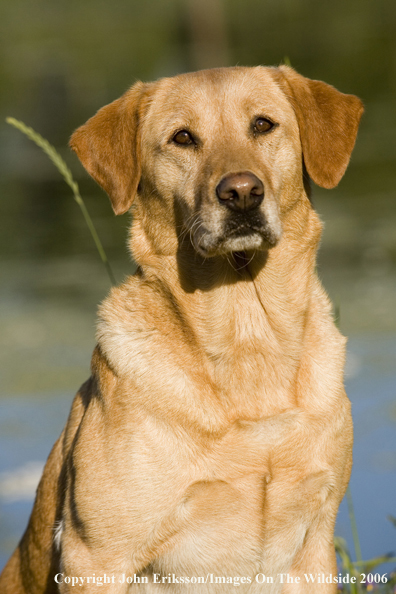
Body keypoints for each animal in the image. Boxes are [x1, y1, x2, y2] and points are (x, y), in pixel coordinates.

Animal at [0, 65, 364, 588]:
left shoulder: (313, 547)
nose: (242, 192)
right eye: (183, 137)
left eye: (263, 125)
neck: (247, 338)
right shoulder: (96, 557)